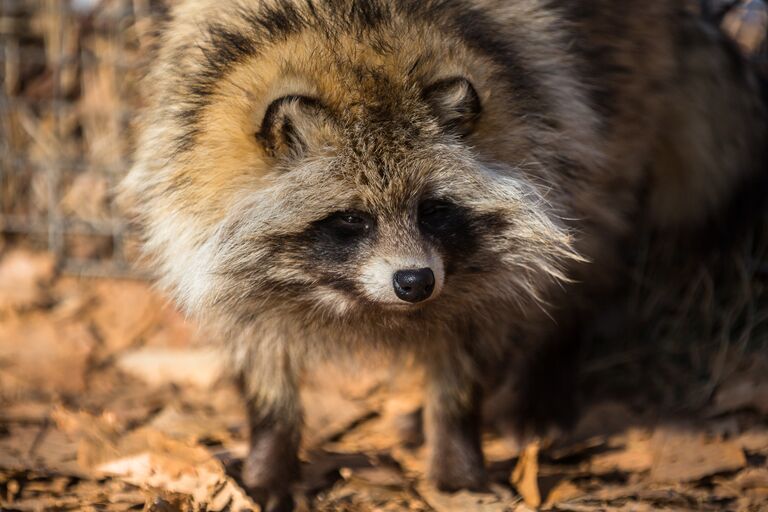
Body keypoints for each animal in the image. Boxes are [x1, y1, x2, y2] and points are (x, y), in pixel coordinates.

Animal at [123, 0, 764, 508]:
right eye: (352, 219)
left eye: (432, 209)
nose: (414, 283)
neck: (351, 35)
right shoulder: (194, 192)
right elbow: (261, 355)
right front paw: (267, 458)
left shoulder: (541, 142)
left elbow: (468, 350)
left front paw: (457, 455)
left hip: (612, 120)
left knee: (588, 255)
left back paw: (546, 367)